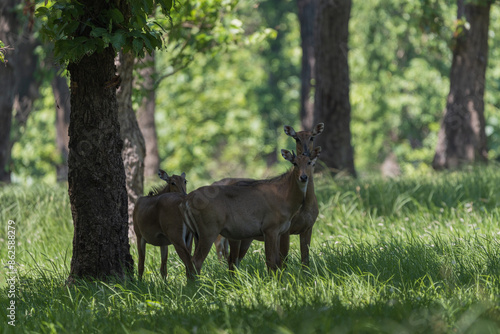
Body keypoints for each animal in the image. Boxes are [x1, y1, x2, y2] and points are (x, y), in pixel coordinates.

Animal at [183, 147, 320, 276]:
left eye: (309, 162)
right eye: (294, 163)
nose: (303, 177)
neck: (285, 198)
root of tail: (188, 200)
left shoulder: (281, 231)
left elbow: (279, 261)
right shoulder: (270, 229)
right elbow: (272, 261)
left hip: (198, 234)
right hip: (209, 231)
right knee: (199, 260)